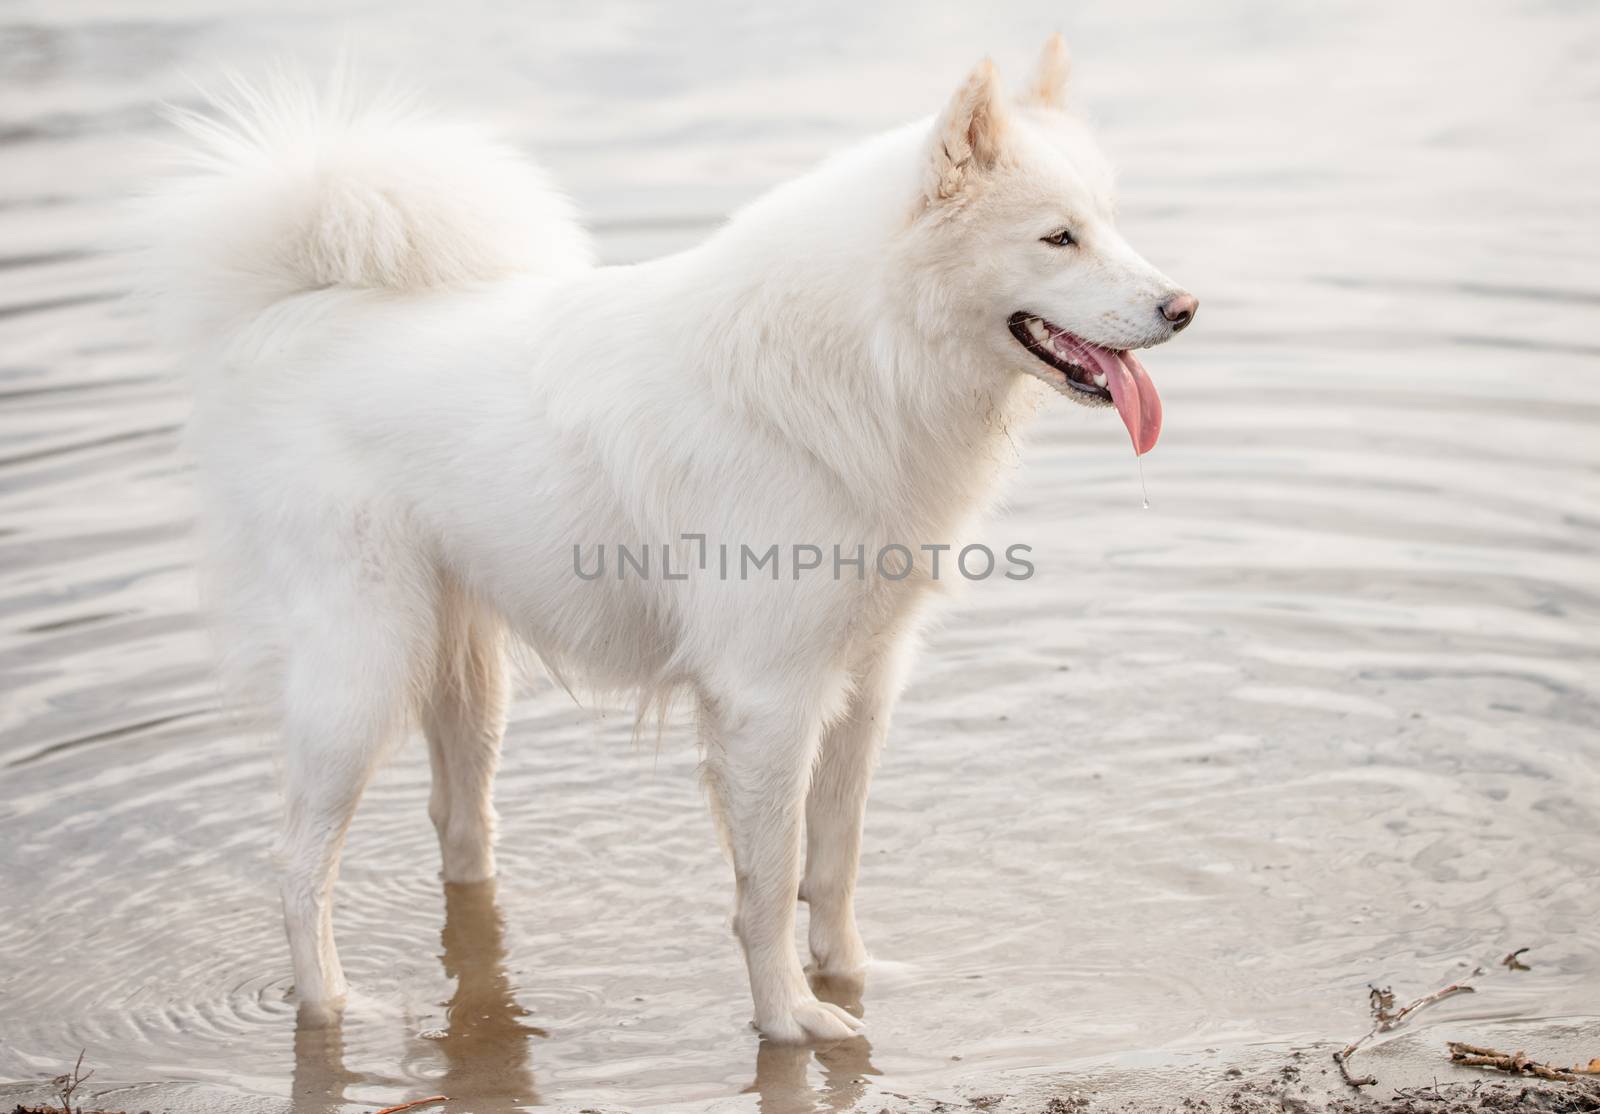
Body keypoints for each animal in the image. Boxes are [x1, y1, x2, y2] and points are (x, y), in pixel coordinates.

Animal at [150, 37, 1196, 1043]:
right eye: (1057, 237)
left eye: (1108, 223)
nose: (1183, 309)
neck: (863, 356)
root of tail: (296, 313)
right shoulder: (769, 702)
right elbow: (768, 888)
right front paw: (789, 1022)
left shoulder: (864, 683)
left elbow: (836, 860)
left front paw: (852, 981)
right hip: (363, 675)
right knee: (296, 861)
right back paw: (334, 1009)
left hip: (467, 677)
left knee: (458, 823)